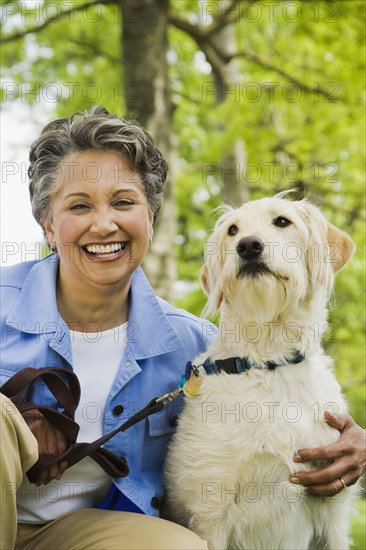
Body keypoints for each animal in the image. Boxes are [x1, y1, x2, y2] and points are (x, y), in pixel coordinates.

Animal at [164, 196, 356, 548]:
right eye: (232, 230)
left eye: (282, 221)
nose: (248, 246)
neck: (269, 364)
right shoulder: (210, 509)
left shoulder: (333, 508)